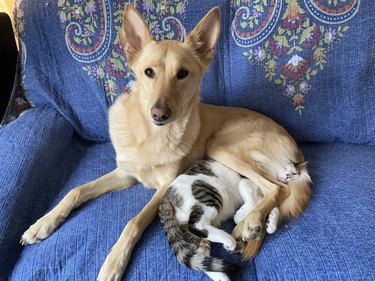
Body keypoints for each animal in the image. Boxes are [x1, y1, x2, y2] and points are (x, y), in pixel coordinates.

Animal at [19, 4, 312, 280]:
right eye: (148, 72)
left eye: (182, 73)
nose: (159, 114)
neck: (150, 135)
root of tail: (295, 148)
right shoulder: (125, 174)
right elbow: (77, 190)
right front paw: (42, 224)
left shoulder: (164, 186)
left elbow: (134, 222)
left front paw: (114, 262)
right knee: (272, 191)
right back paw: (261, 221)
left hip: (220, 147)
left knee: (276, 189)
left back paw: (248, 224)